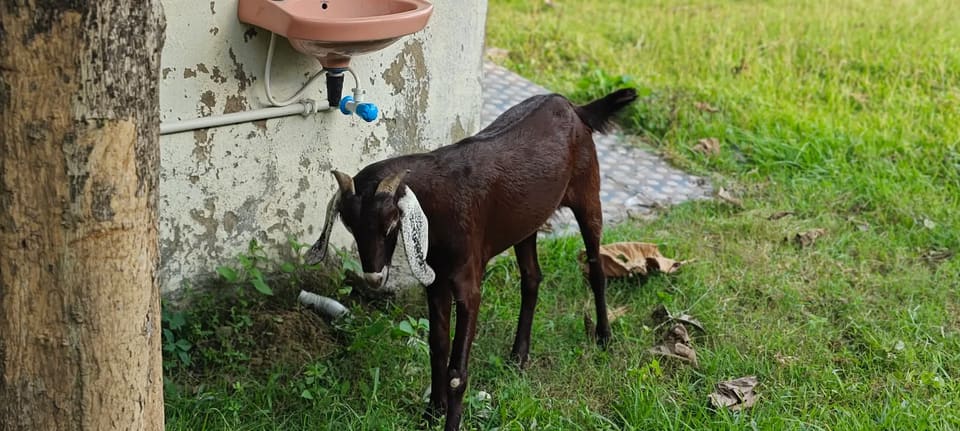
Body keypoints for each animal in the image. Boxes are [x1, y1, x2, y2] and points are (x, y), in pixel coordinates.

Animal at [305, 88, 637, 430]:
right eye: (348, 224)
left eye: (391, 223)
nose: (373, 277)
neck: (439, 202)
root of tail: (573, 107)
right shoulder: (436, 279)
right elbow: (438, 346)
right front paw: (432, 411)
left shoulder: (468, 282)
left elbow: (456, 372)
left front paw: (450, 422)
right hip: (525, 224)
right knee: (532, 278)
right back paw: (518, 356)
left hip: (589, 194)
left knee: (596, 269)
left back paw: (603, 337)